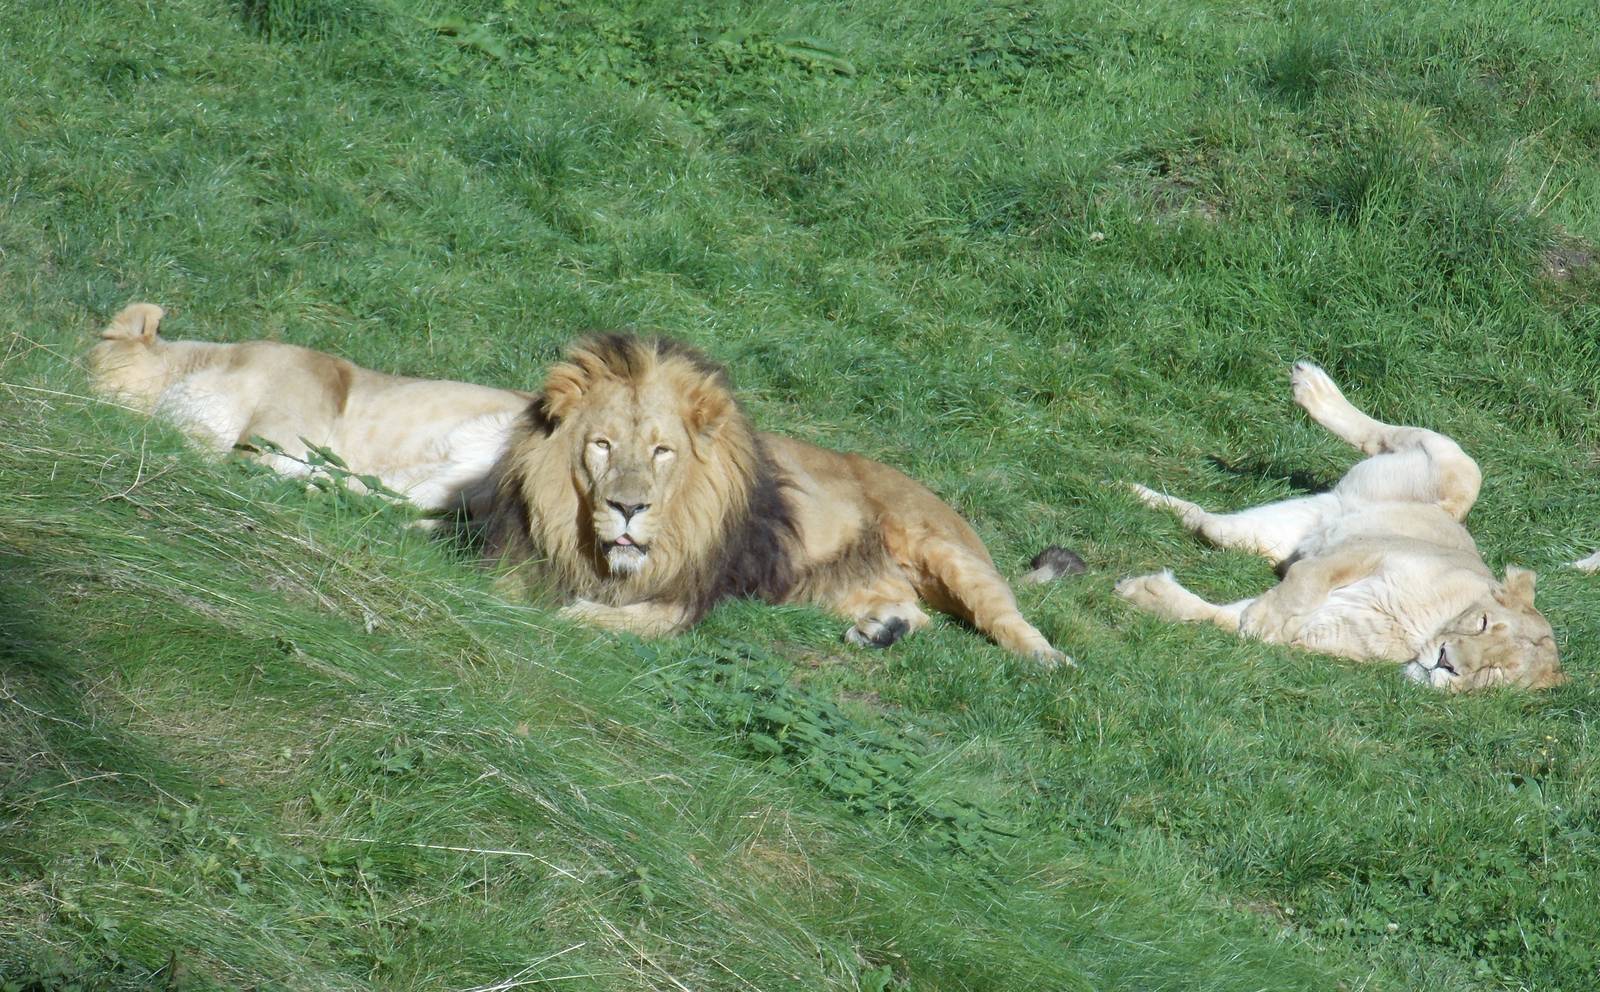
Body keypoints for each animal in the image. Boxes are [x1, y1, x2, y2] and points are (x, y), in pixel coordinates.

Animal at [478, 334, 1068, 666]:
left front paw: (574, 614)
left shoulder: (702, 590)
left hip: (944, 548)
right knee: (915, 612)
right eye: (602, 445)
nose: (628, 508)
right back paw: (883, 630)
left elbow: (635, 620)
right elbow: (503, 590)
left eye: (662, 451)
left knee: (1004, 613)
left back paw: (1047, 660)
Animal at [1115, 361, 1565, 691]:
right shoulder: (1368, 551)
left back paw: (1129, 492)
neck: (1423, 628)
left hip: (1272, 531)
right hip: (1459, 471)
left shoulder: (1317, 632)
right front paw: (1265, 615)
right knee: (1384, 436)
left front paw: (1143, 593)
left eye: (1494, 672)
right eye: (1484, 623)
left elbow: (1221, 620)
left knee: (1205, 522)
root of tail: (1339, 505)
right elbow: (1306, 582)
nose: (1446, 663)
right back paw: (1311, 384)